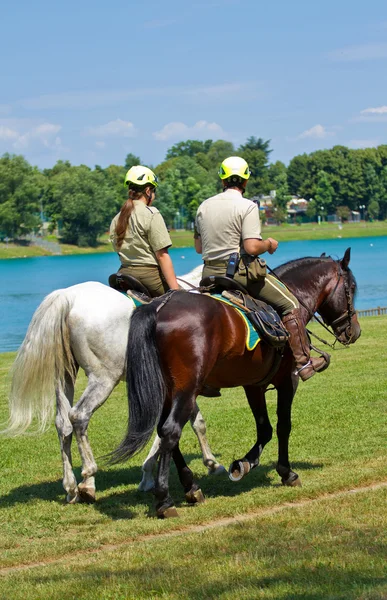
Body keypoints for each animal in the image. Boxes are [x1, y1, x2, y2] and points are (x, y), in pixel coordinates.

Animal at [2, 264, 224, 504]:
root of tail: (68, 296)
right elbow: (180, 426)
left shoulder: (179, 386)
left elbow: (195, 423)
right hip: (104, 379)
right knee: (79, 416)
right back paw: (88, 480)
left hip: (64, 377)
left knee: (63, 423)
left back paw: (71, 487)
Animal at [110, 248, 362, 516]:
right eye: (351, 287)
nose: (354, 331)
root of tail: (159, 306)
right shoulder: (287, 381)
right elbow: (282, 426)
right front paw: (284, 472)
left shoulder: (253, 385)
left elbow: (264, 428)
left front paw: (244, 464)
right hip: (185, 391)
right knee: (170, 431)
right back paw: (165, 499)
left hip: (168, 391)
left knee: (163, 433)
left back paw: (191, 486)